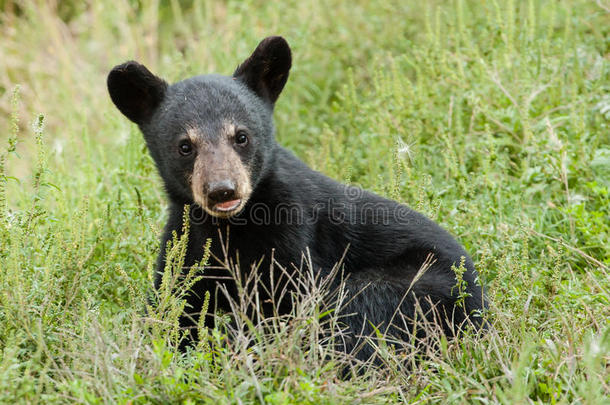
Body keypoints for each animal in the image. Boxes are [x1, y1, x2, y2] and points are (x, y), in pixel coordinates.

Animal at [105, 36, 484, 362]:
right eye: (185, 145)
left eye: (241, 136)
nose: (223, 190)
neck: (231, 227)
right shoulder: (186, 244)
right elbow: (173, 304)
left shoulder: (293, 234)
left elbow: (291, 301)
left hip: (420, 283)